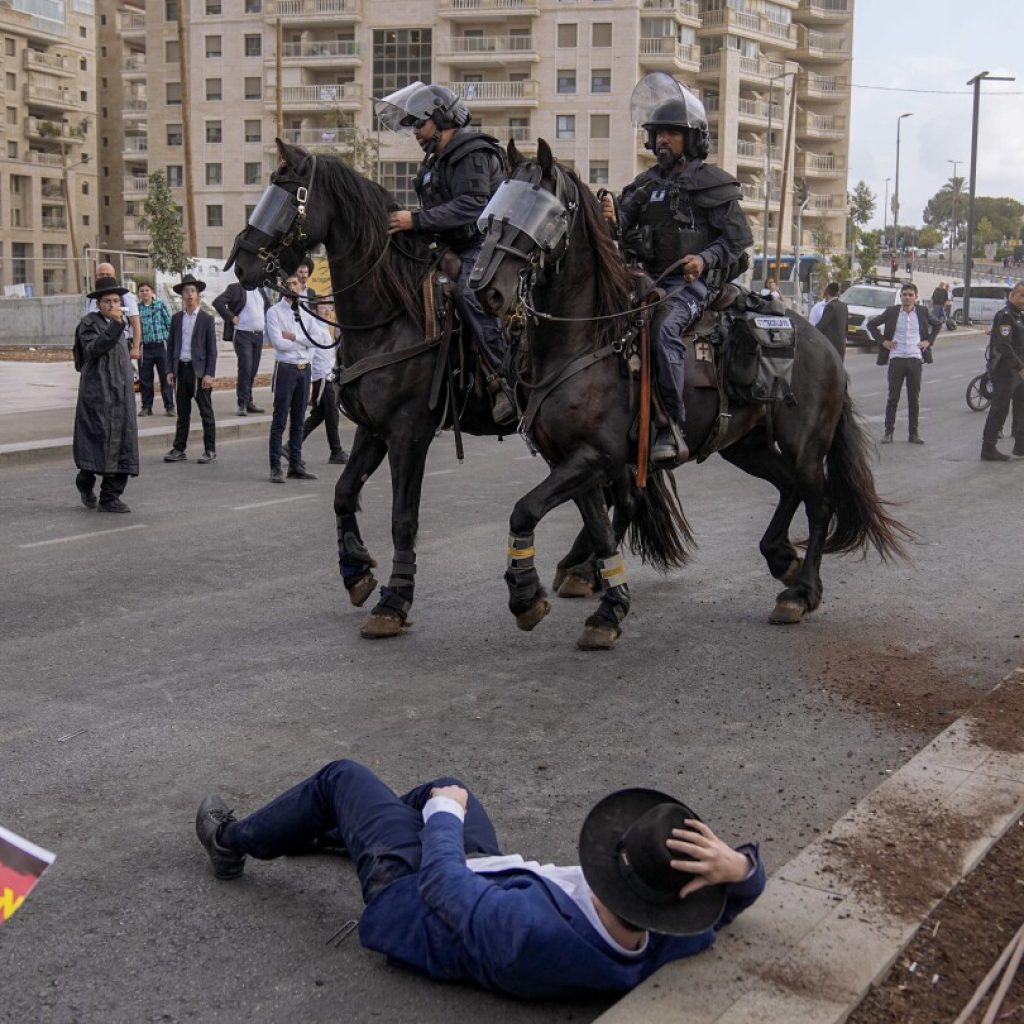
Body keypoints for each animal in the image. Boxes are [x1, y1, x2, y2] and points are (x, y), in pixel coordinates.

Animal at [223, 139, 688, 643]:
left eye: (289, 198)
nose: (243, 264)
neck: (391, 313)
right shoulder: (373, 430)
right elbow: (344, 494)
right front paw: (357, 570)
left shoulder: (409, 433)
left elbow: (403, 518)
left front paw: (394, 600)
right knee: (619, 498)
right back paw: (583, 572)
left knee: (622, 497)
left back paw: (585, 573)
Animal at [471, 141, 913, 626]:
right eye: (495, 209)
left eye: (542, 213)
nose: (485, 288)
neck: (587, 337)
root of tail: (826, 345)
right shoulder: (571, 460)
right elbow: (597, 527)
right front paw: (606, 603)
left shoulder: (594, 457)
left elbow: (527, 509)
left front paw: (528, 595)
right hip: (745, 445)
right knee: (789, 487)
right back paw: (780, 557)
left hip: (805, 447)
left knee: (820, 504)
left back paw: (802, 592)